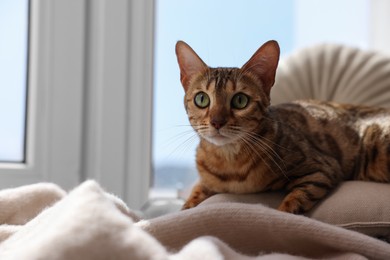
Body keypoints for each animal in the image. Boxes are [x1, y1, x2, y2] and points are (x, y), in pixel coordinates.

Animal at [176, 39, 390, 213]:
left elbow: (293, 202)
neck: (229, 163)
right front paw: (187, 206)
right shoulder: (205, 181)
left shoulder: (321, 169)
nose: (217, 121)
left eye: (240, 100)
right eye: (202, 99)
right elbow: (193, 196)